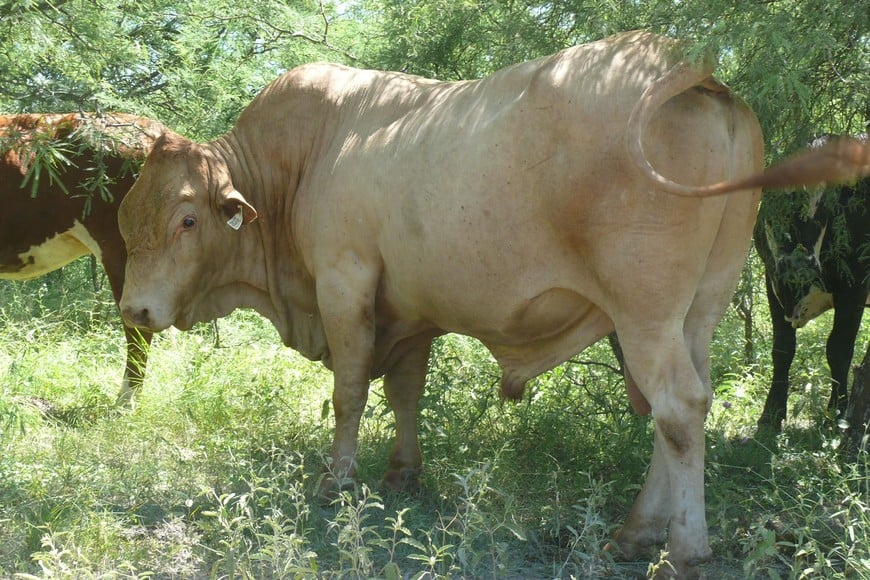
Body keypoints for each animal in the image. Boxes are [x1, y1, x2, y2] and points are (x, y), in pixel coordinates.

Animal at [756, 161, 870, 432]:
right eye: (777, 211)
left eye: (823, 206)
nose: (800, 265)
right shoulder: (771, 279)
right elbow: (782, 349)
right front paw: (771, 414)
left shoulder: (855, 286)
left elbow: (839, 348)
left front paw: (838, 413)